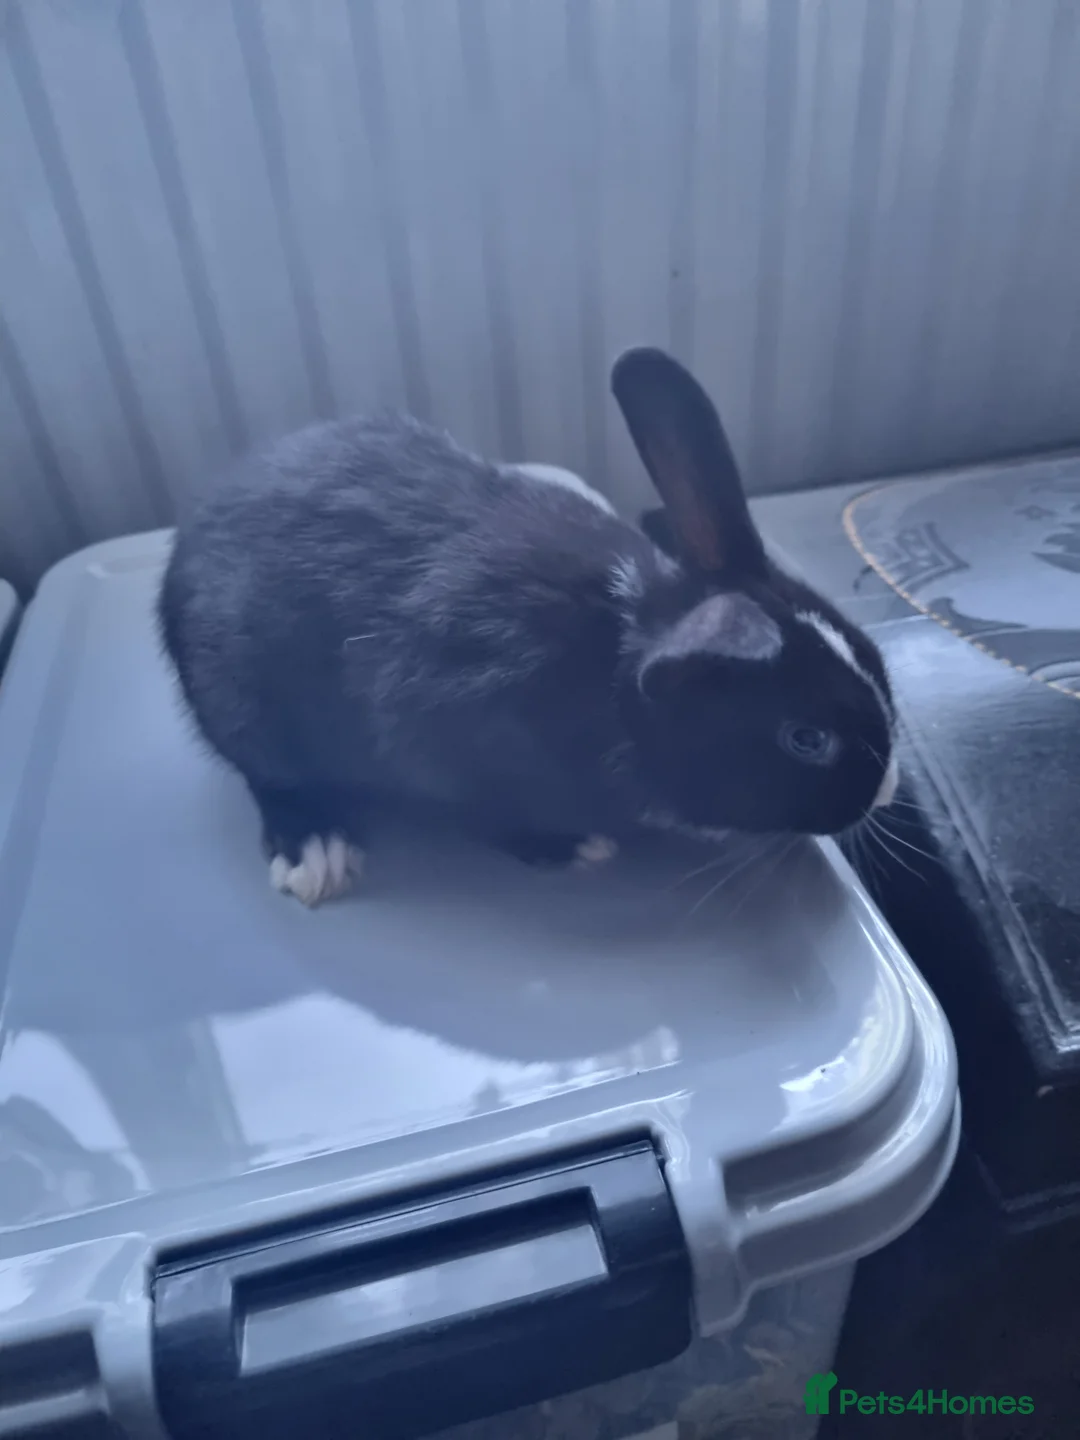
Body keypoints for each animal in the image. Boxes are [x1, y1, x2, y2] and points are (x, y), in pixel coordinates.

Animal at [158, 346, 898, 906]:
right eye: (807, 739)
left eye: (870, 654)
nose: (887, 791)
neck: (614, 667)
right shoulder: (449, 746)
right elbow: (492, 818)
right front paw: (575, 848)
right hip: (243, 710)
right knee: (269, 776)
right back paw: (319, 851)